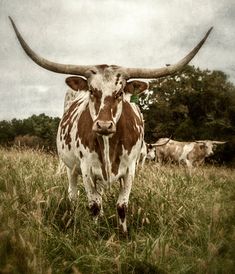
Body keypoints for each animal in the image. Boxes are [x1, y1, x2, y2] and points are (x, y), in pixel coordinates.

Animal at [9, 16, 212, 231]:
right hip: (71, 167)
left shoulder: (130, 170)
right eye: (92, 91)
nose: (104, 126)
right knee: (73, 195)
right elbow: (94, 204)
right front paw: (95, 232)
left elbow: (122, 206)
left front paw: (122, 232)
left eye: (120, 92)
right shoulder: (86, 169)